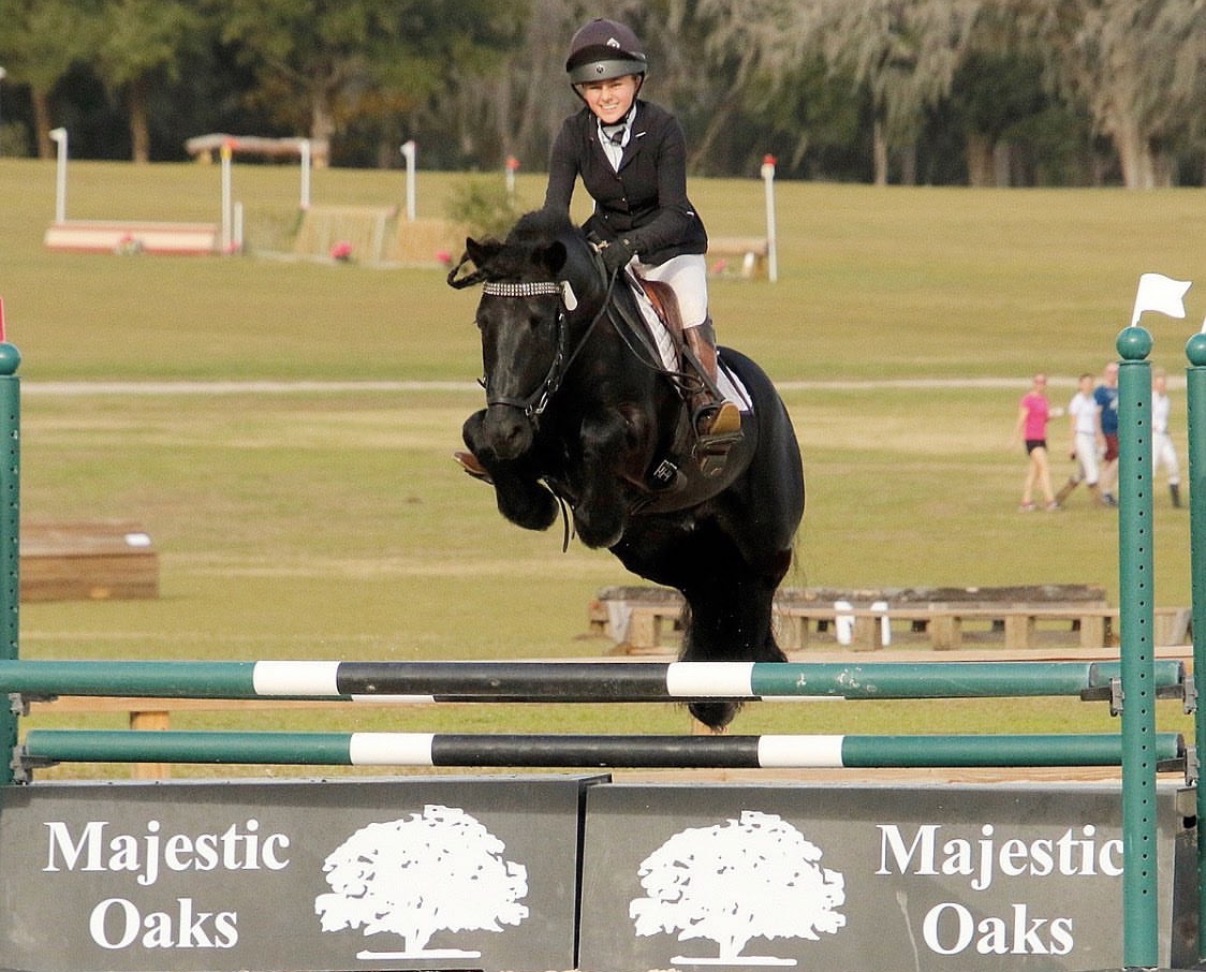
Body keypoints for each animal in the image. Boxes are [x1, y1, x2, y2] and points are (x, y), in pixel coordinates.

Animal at [448, 209, 804, 730]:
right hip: (661, 549)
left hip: (764, 538)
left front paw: (594, 516)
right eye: (482, 323)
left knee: (753, 588)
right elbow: (474, 429)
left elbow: (601, 437)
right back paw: (712, 687)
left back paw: (748, 662)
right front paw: (529, 503)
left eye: (540, 323)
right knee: (712, 588)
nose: (506, 432)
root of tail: (772, 398)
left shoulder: (636, 439)